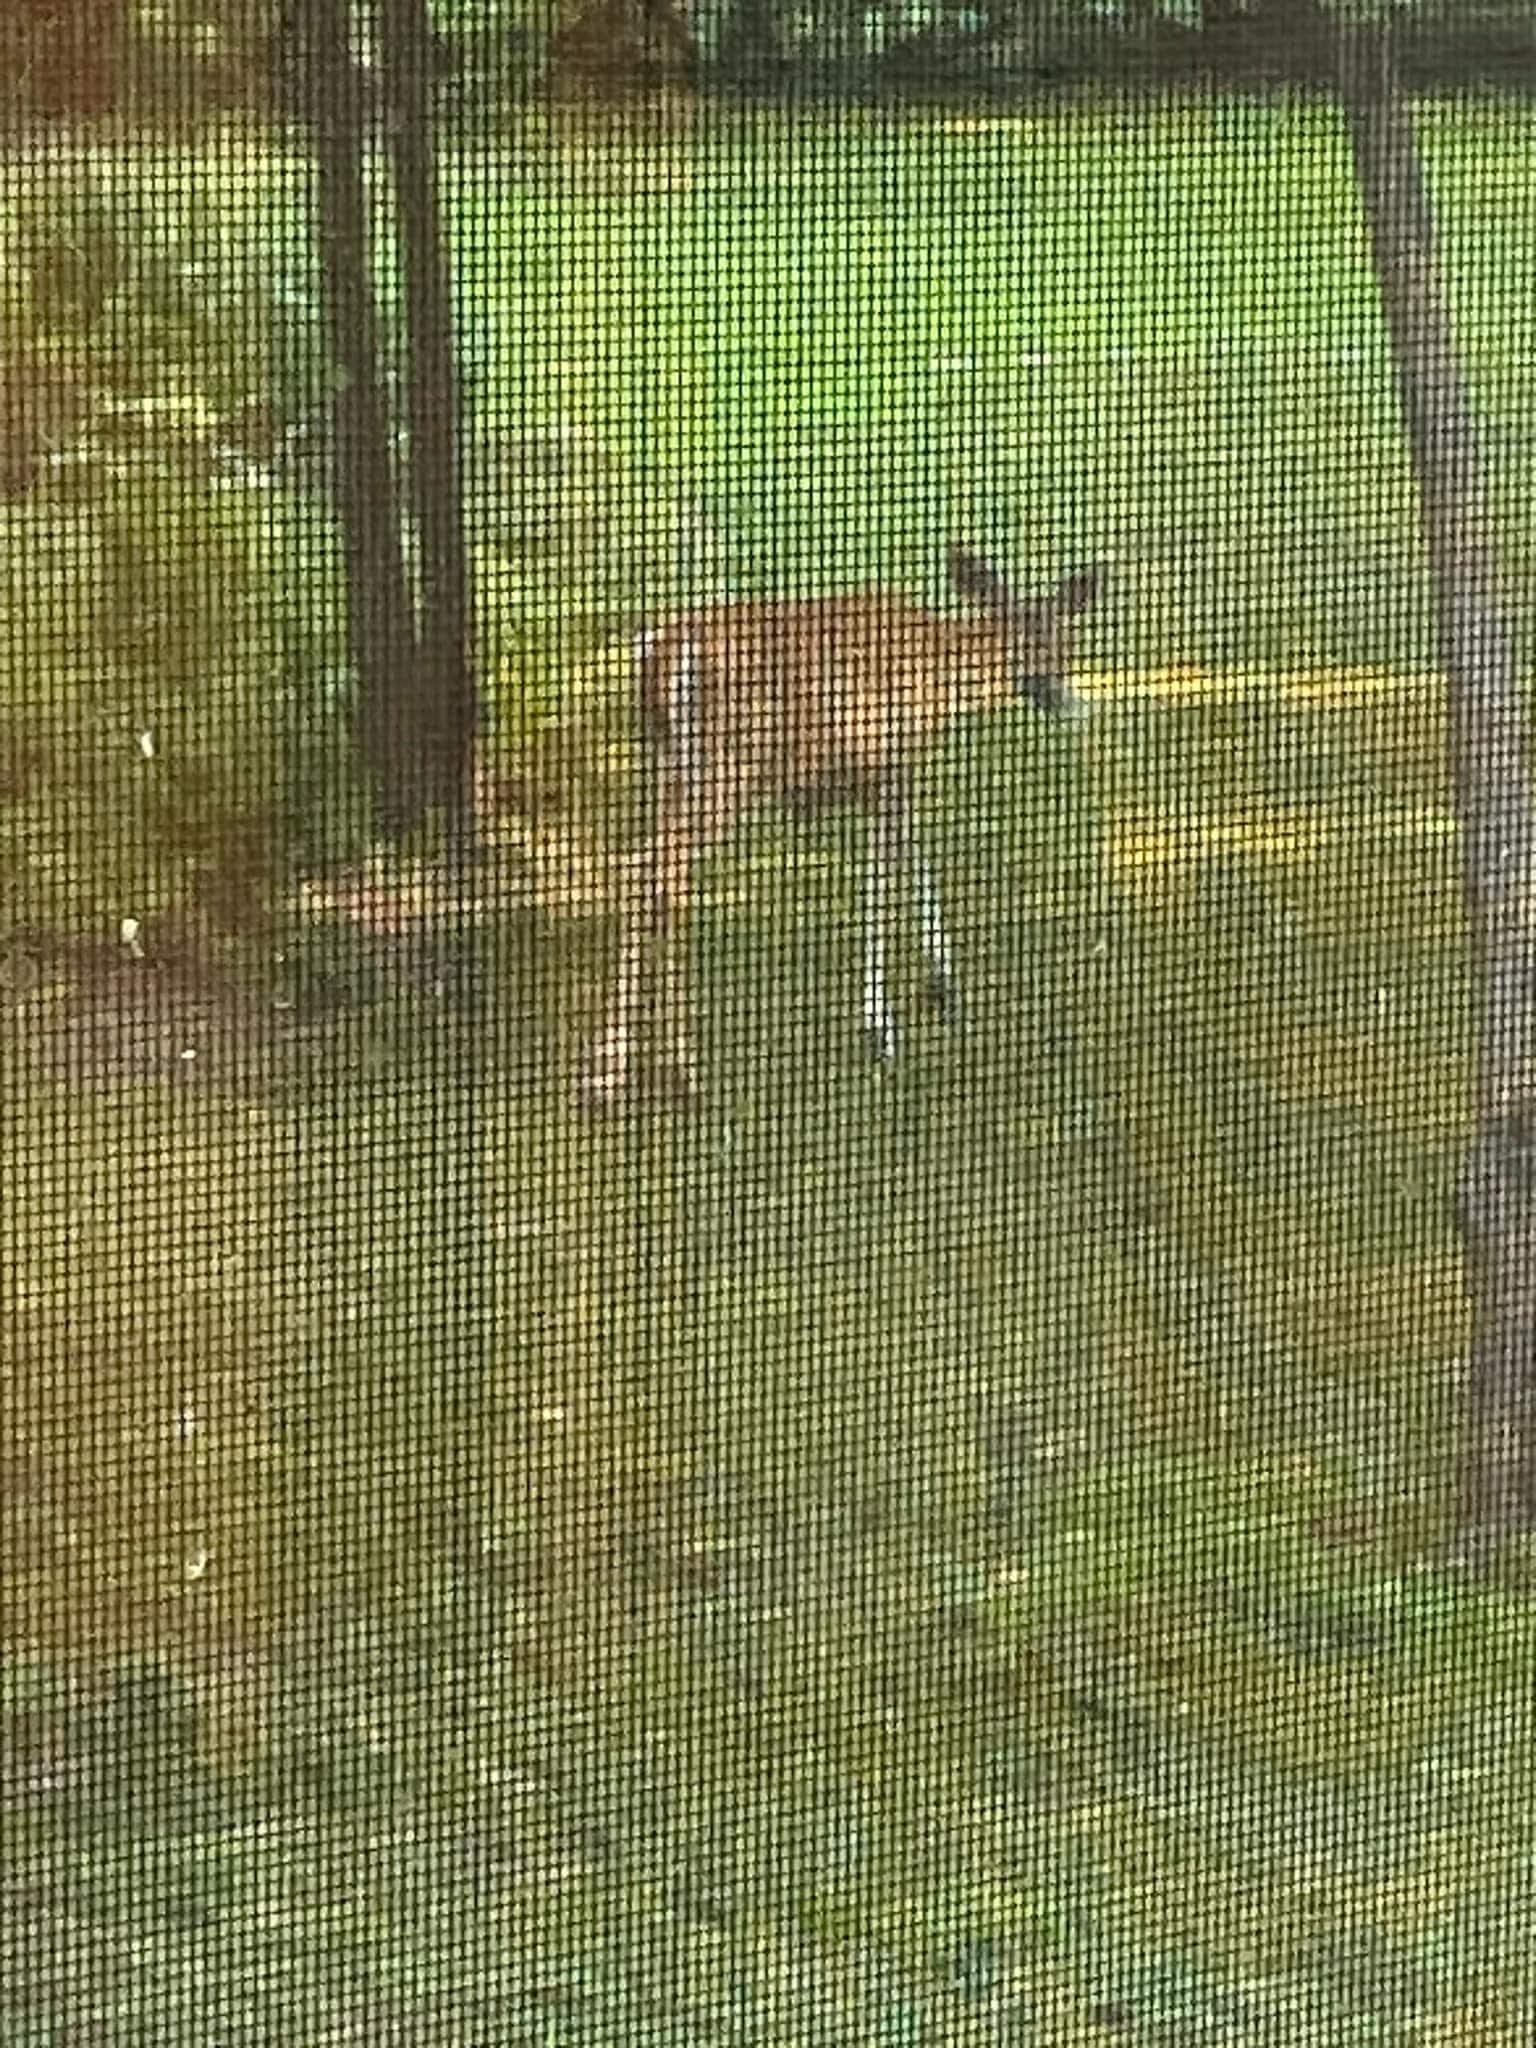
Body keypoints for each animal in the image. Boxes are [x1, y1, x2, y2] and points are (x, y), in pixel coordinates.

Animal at [580, 546, 1105, 1106]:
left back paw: (636, 1066)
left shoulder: (878, 777)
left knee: (652, 875)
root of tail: (664, 649)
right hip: (730, 767)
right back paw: (658, 1069)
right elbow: (882, 876)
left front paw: (942, 983)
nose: (1064, 699)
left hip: (667, 770)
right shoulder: (888, 759)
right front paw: (882, 1024)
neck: (942, 671)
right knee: (654, 871)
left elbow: (913, 857)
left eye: (1066, 643)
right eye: (1026, 644)